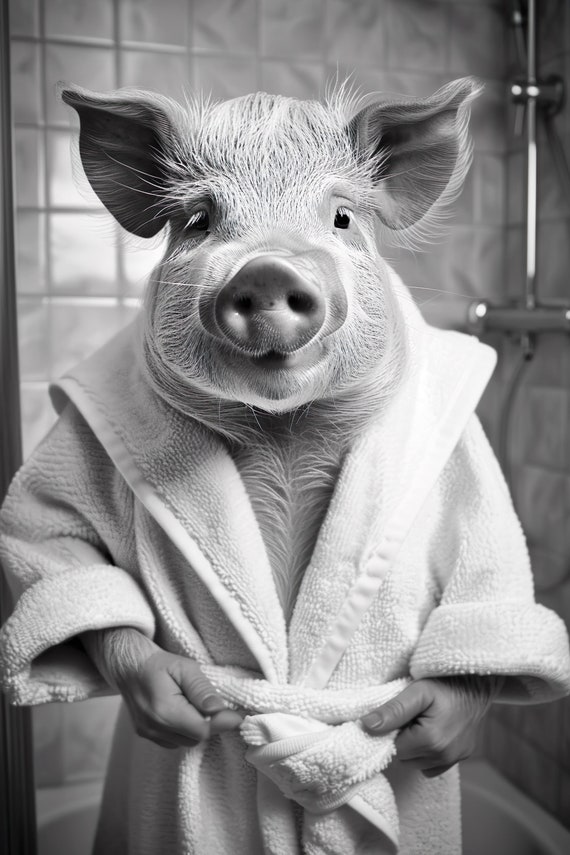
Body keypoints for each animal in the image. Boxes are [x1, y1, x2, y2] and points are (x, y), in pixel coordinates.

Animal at [1, 78, 569, 855]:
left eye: (342, 217)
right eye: (199, 221)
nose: (268, 268)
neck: (284, 434)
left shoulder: (466, 458)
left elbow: (485, 573)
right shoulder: (78, 442)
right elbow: (52, 537)